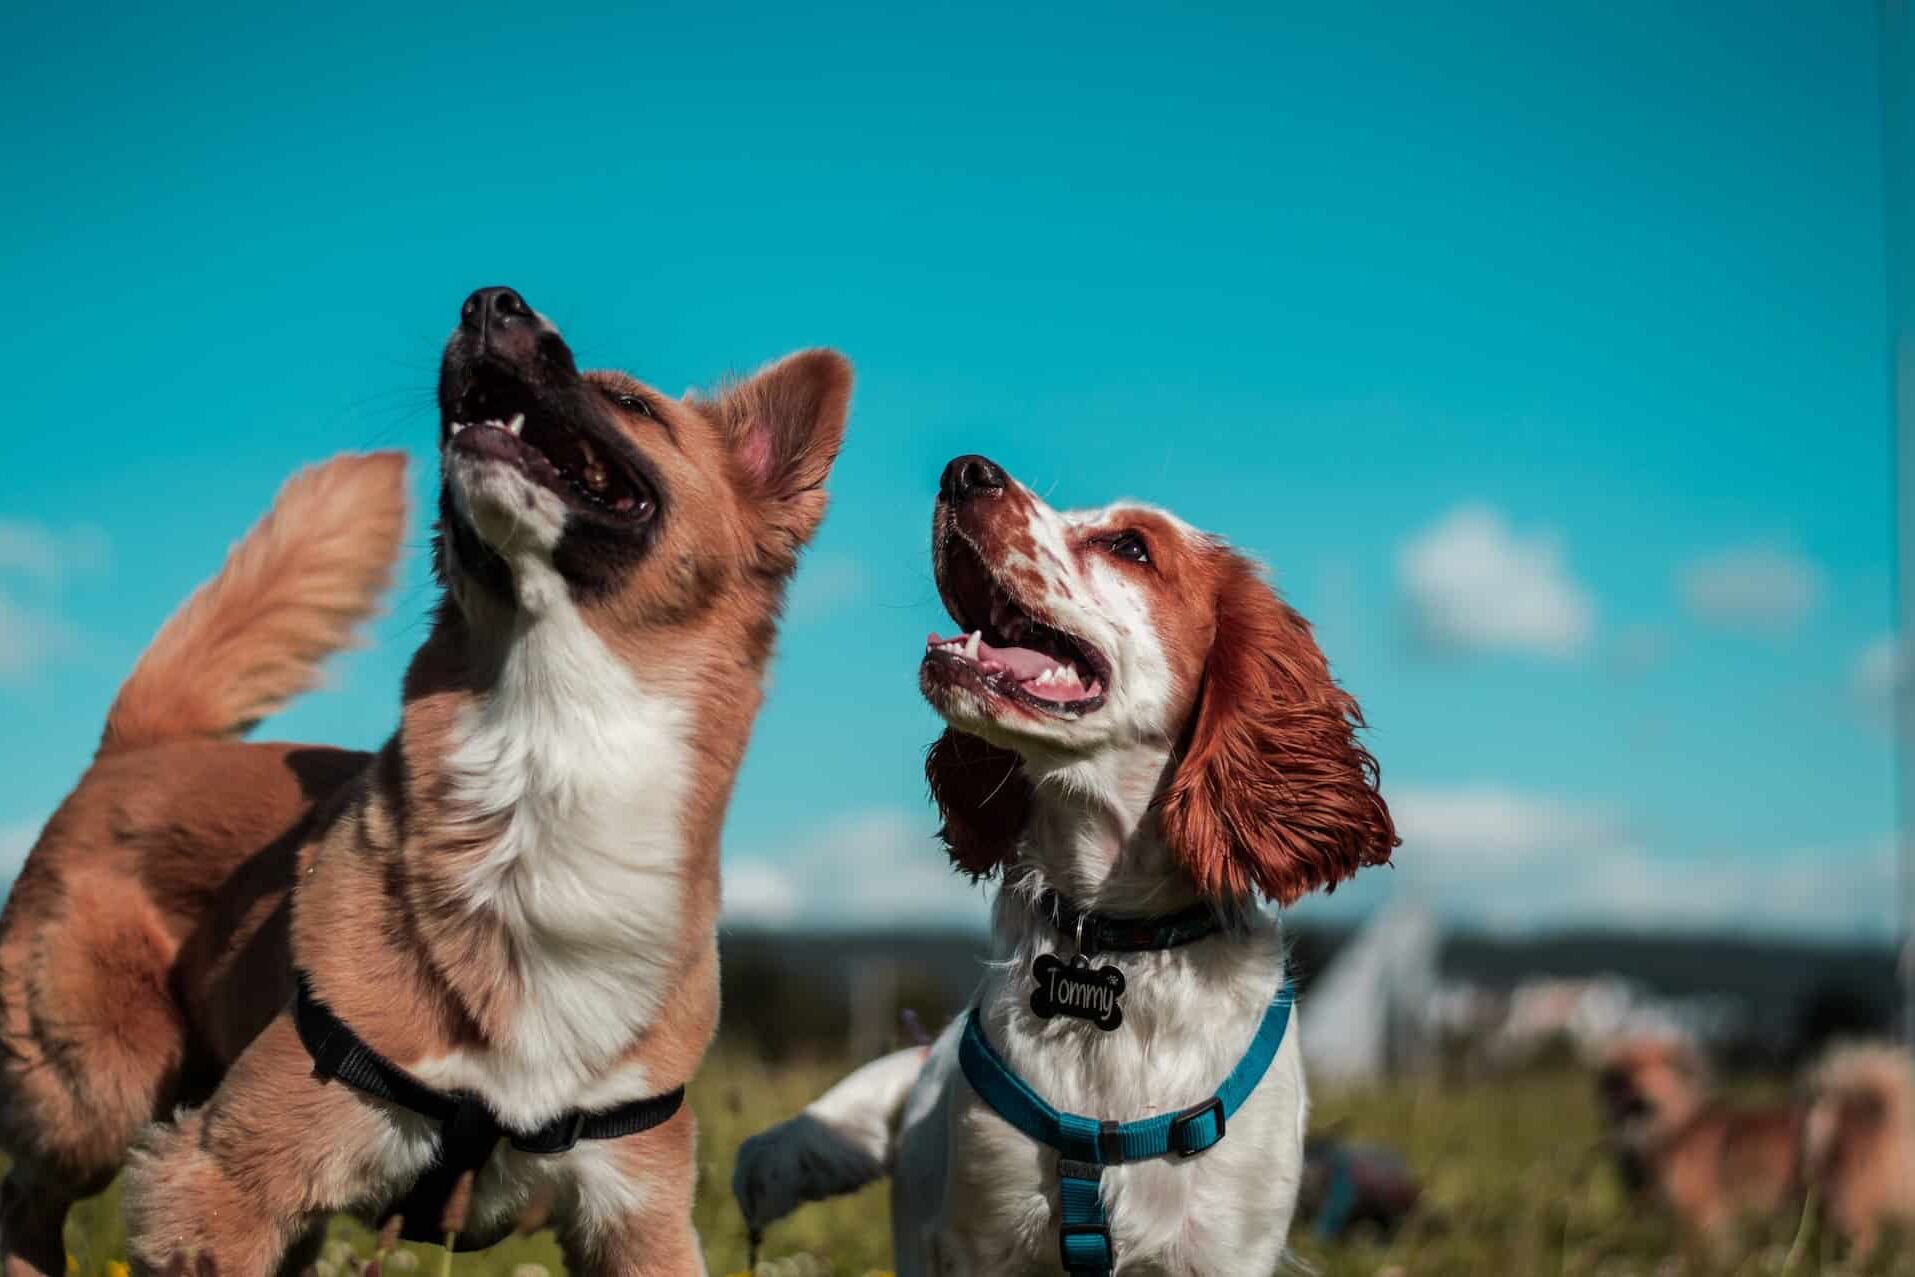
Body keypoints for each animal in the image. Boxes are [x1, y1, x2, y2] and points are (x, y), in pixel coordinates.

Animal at [0, 289, 854, 1277]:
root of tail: (142, 744)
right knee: (27, 1196)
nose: (491, 300)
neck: (549, 751)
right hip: (97, 1095)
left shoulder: (640, 1216)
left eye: (630, 404)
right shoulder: (219, 1179)